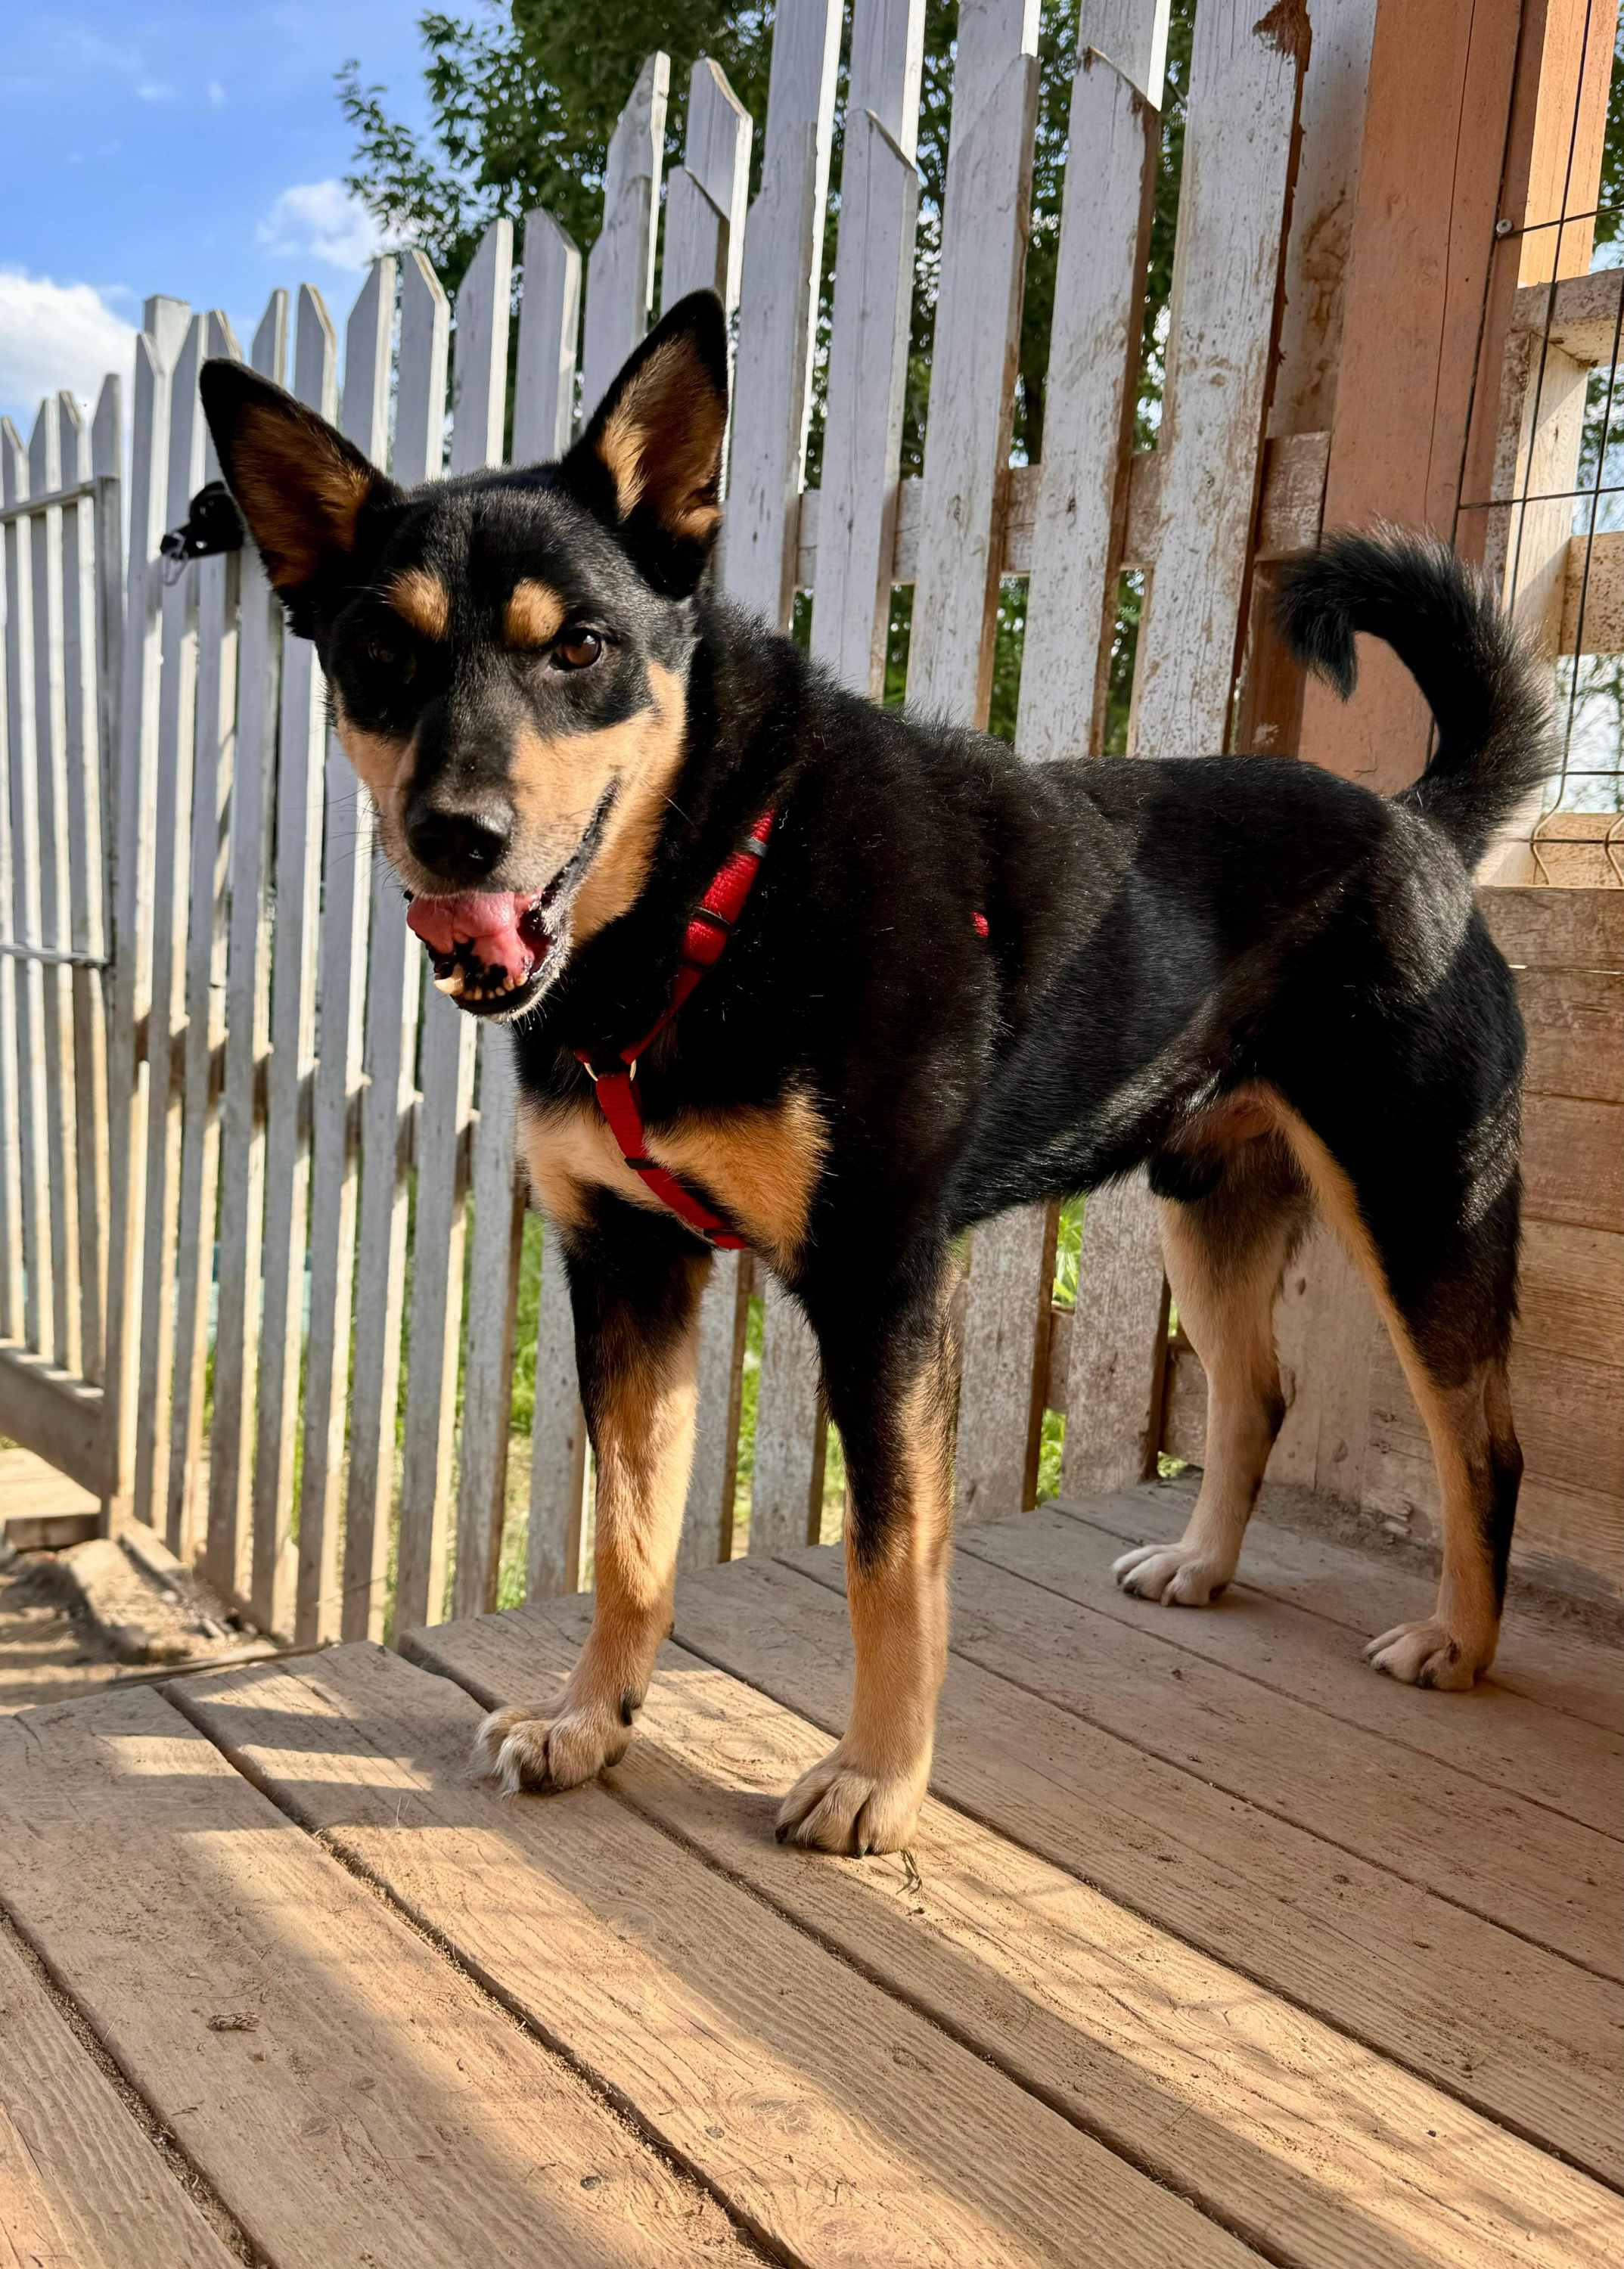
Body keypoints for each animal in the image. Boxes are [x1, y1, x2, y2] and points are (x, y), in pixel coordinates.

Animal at [201, 286, 1550, 1857]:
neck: (720, 884)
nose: (454, 836)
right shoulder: (627, 1266)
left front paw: (880, 1782)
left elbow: (890, 1560)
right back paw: (1204, 1565)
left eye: (579, 647)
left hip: (1425, 1210)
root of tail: (1419, 828)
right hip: (1209, 1207)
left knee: (1484, 1446)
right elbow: (629, 1537)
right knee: (1254, 1393)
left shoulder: (883, 1285)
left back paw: (1461, 1642)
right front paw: (593, 1724)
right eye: (382, 655)